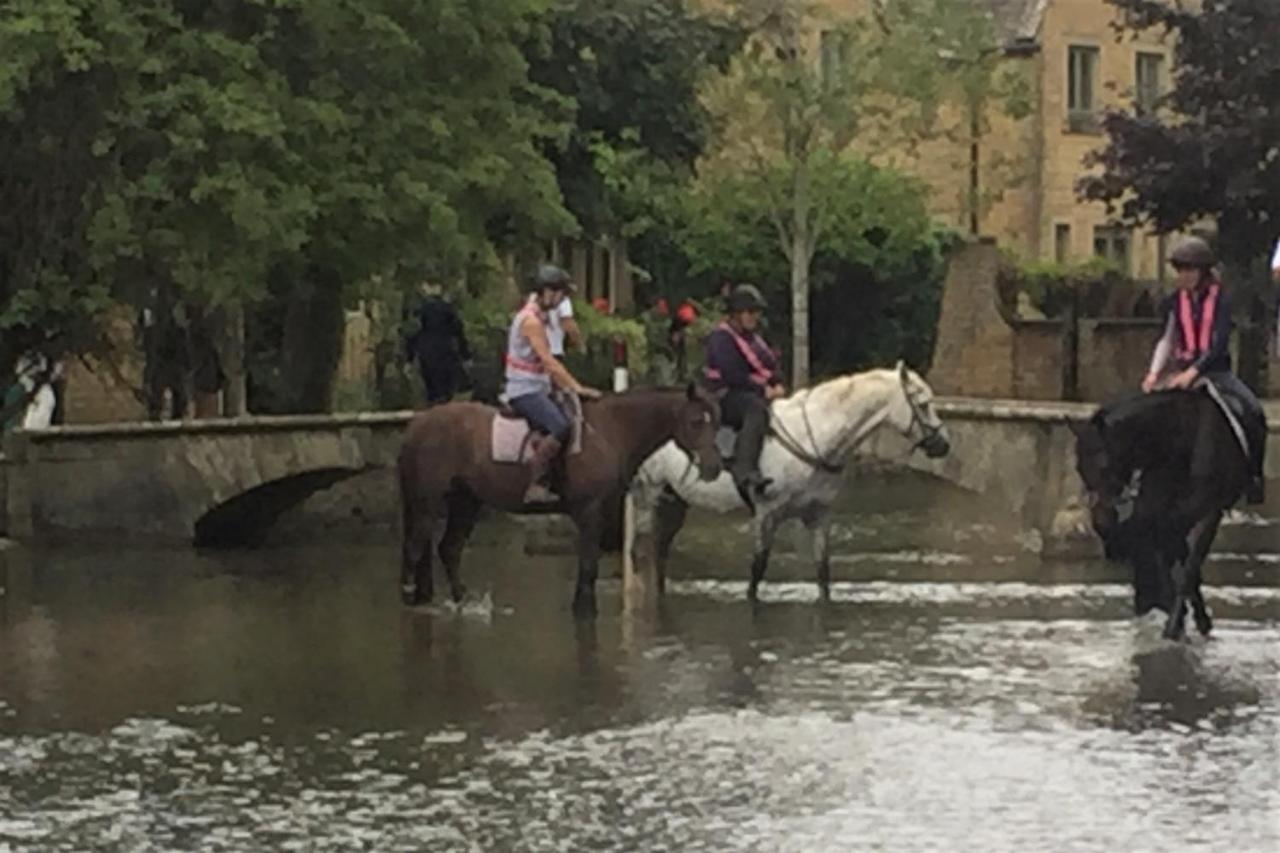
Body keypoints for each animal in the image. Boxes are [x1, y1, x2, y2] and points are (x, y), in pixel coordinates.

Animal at [399, 381, 721, 614]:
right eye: (695, 421)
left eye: (715, 421)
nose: (714, 467)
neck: (610, 431)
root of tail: (418, 423)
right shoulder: (590, 512)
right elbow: (588, 566)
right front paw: (584, 611)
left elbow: (591, 567)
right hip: (427, 504)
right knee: (416, 549)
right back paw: (410, 597)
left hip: (465, 502)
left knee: (449, 549)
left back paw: (461, 601)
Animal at [629, 361, 952, 601]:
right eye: (924, 404)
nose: (944, 445)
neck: (815, 437)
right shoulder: (767, 515)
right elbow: (757, 572)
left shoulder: (819, 516)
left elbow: (823, 573)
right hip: (650, 497)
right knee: (644, 552)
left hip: (675, 501)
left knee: (660, 552)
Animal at [1070, 386, 1259, 637]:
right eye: (1078, 467)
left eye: (1103, 465)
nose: (1101, 523)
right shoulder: (1162, 515)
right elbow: (1173, 560)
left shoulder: (1209, 514)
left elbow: (1187, 568)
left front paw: (1175, 624)